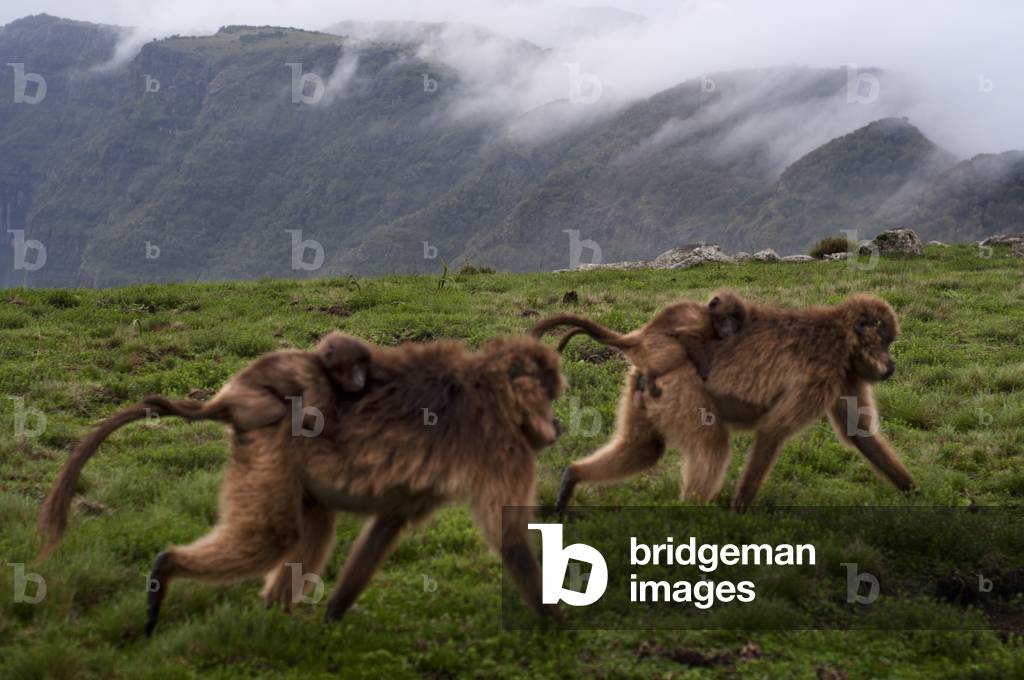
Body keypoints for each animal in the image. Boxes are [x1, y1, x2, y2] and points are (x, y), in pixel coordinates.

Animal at [144, 331, 372, 433]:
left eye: (362, 365)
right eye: (354, 366)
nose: (360, 379)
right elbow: (314, 417)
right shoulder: (318, 381)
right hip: (248, 399)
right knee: (275, 408)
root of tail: (226, 393)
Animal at [533, 289, 747, 398]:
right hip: (660, 345)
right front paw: (705, 372)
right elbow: (687, 339)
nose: (730, 329)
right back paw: (651, 383)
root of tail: (641, 335)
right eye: (726, 319)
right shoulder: (700, 326)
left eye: (735, 321)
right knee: (672, 353)